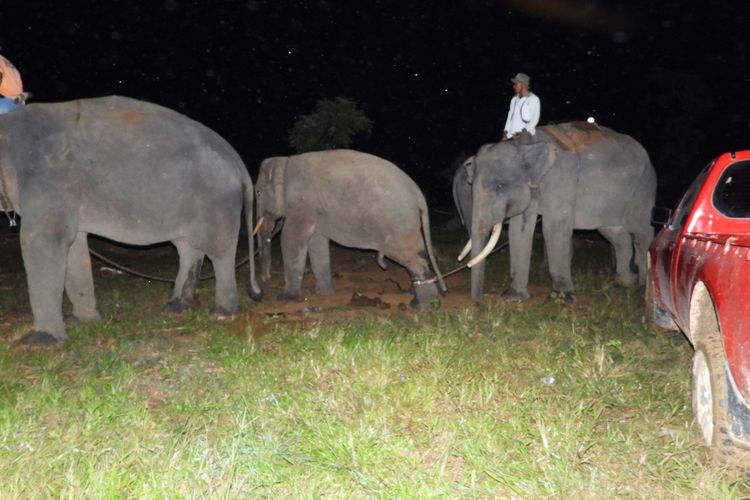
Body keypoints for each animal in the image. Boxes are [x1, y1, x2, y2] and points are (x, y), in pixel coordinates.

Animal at [0, 96, 264, 348]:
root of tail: (237, 160)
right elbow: (75, 246)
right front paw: (85, 321)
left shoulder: (46, 177)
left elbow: (42, 241)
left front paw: (38, 342)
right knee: (188, 247)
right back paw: (177, 307)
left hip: (217, 199)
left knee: (219, 250)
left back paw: (222, 313)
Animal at [256, 147, 450, 308]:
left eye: (258, 193)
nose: (267, 282)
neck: (285, 161)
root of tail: (419, 195)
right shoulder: (314, 209)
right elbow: (317, 243)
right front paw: (324, 294)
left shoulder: (301, 203)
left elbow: (291, 239)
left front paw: (287, 300)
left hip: (400, 224)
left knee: (409, 256)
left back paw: (423, 307)